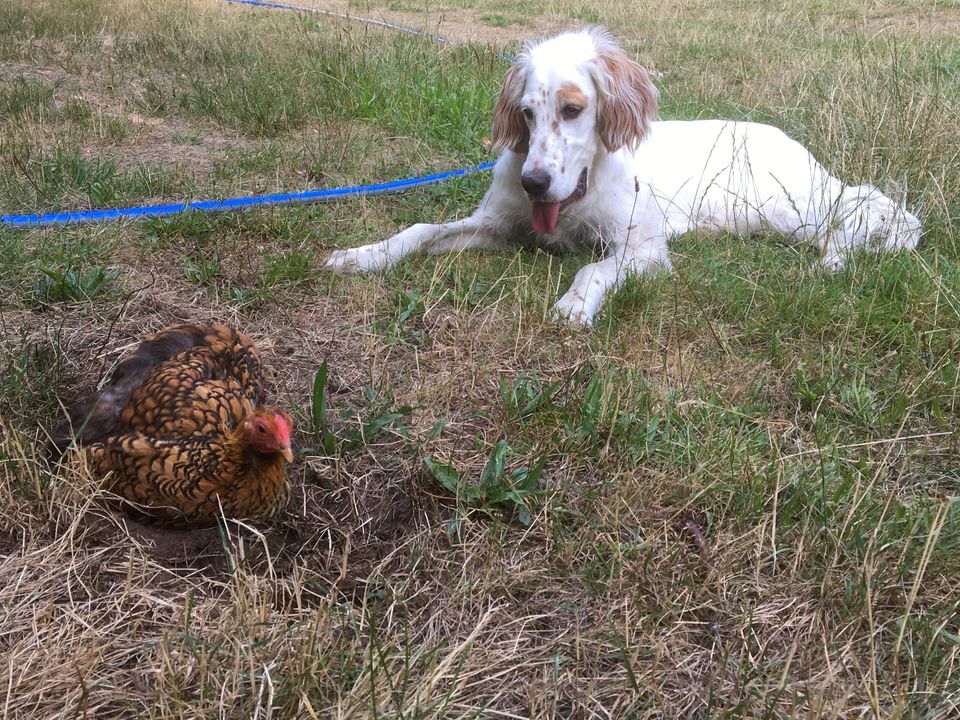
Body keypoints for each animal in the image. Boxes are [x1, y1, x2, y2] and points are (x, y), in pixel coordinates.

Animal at [330, 27, 924, 326]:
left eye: (572, 110)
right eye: (525, 112)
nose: (533, 183)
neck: (576, 196)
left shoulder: (642, 248)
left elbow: (593, 269)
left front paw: (574, 305)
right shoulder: (496, 224)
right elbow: (419, 231)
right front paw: (362, 255)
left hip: (786, 208)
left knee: (864, 209)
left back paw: (838, 257)